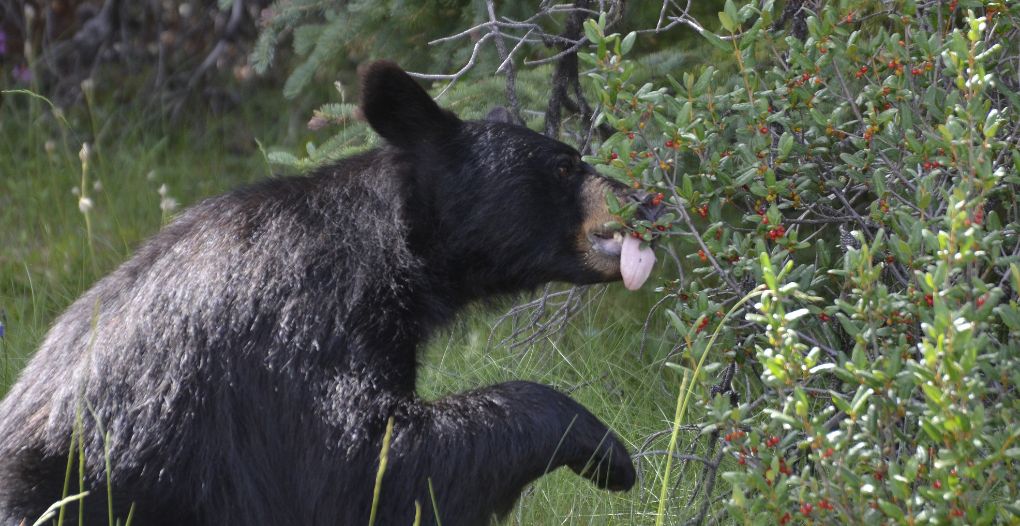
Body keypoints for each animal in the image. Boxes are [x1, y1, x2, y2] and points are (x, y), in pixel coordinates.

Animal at [0, 62, 652, 526]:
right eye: (566, 165)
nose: (646, 201)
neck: (391, 251)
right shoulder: (305, 321)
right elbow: (357, 465)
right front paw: (603, 447)